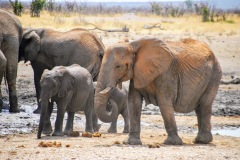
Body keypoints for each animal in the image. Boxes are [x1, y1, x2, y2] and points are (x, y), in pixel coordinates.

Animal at [94, 37, 222, 145]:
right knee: (199, 108)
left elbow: (164, 103)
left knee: (204, 106)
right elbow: (134, 102)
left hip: (214, 76)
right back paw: (199, 140)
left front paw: (172, 143)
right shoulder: (137, 73)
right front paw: (131, 142)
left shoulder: (166, 74)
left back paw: (202, 141)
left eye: (118, 66)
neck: (131, 45)